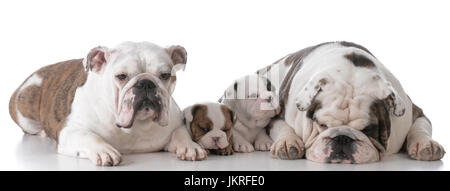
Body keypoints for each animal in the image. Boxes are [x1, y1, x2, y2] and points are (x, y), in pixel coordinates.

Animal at [8, 41, 207, 166]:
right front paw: (103, 150)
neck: (135, 126)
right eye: (121, 76)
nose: (146, 83)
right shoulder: (69, 130)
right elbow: (88, 136)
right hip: (24, 109)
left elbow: (180, 132)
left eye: (165, 75)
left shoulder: (175, 121)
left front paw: (190, 146)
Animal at [258, 41, 444, 163]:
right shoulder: (276, 113)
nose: (342, 138)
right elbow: (282, 126)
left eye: (369, 129)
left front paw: (425, 144)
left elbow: (420, 126)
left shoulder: (414, 112)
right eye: (322, 125)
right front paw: (287, 143)